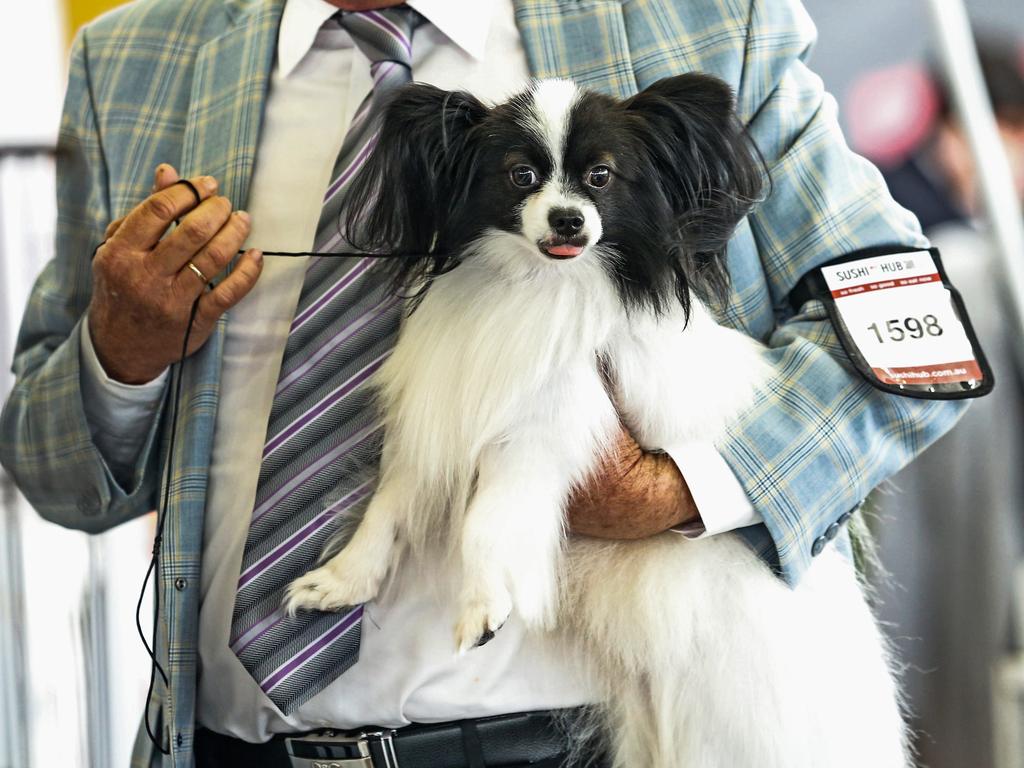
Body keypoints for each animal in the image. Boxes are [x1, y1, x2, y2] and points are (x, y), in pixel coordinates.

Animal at [284, 73, 909, 768]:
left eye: (601, 177)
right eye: (522, 175)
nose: (569, 218)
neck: (534, 283)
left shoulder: (539, 435)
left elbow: (485, 526)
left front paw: (485, 603)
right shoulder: (441, 417)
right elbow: (388, 509)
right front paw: (341, 581)